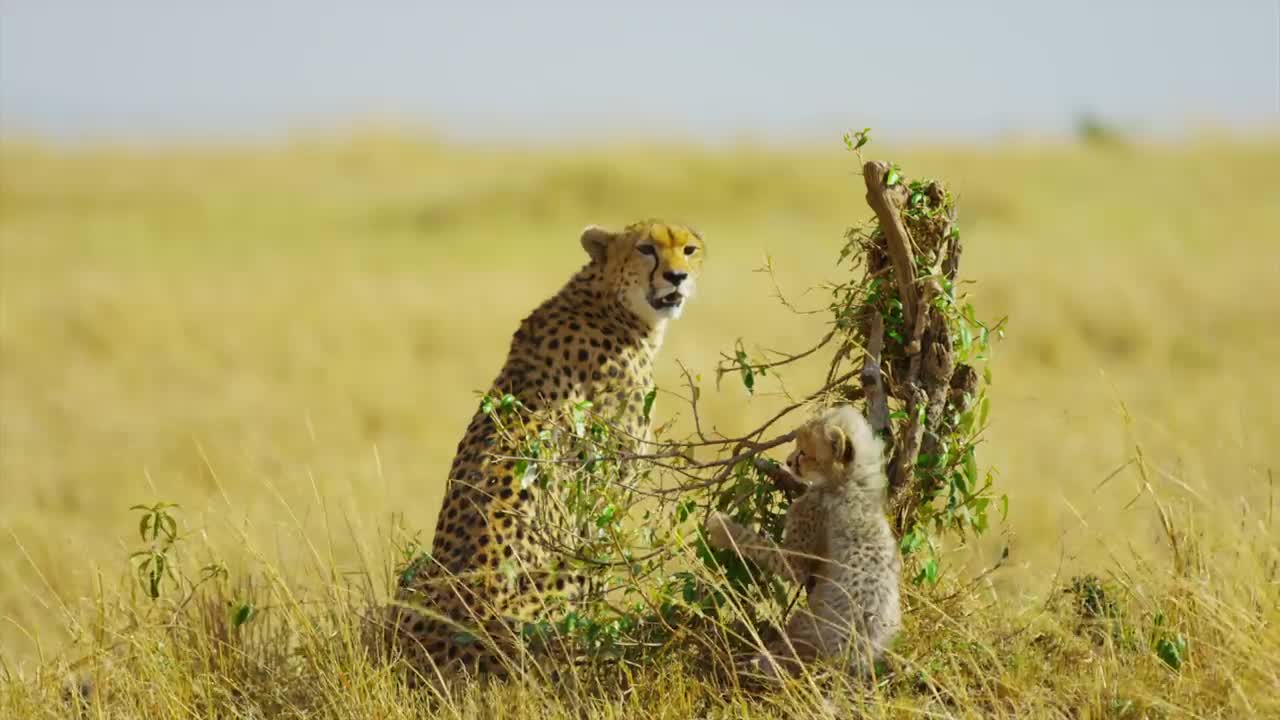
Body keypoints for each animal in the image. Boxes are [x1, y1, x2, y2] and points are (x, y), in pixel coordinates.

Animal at [378, 219, 706, 681]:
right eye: (646, 248)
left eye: (689, 249)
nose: (678, 277)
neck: (610, 301)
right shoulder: (605, 491)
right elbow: (601, 562)